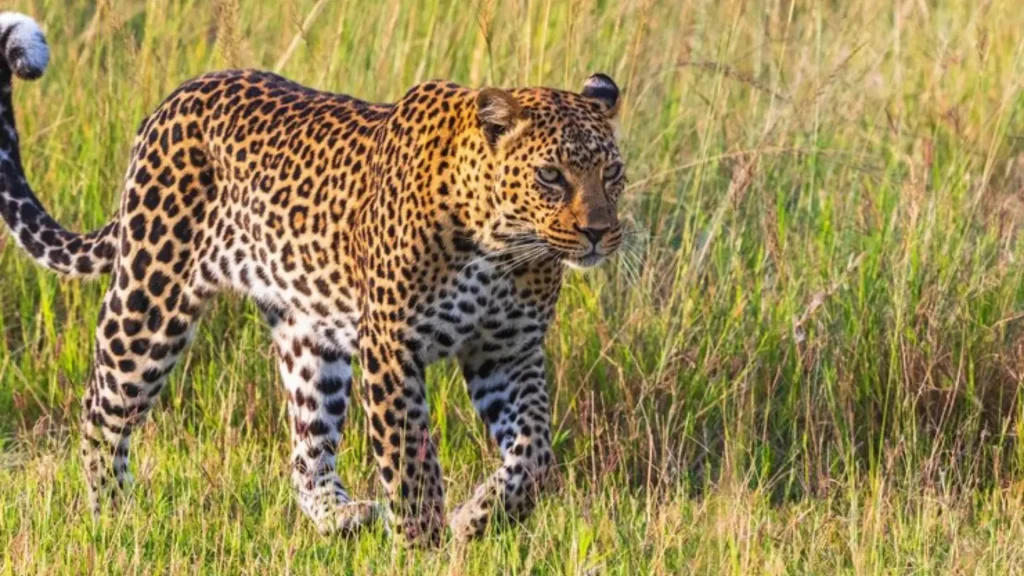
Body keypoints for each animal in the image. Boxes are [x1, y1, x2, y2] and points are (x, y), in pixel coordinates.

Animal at [0, 12, 626, 547]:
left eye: (613, 172)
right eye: (551, 176)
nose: (600, 232)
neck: (501, 248)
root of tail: (173, 101)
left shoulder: (509, 352)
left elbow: (534, 455)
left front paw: (476, 518)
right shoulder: (392, 347)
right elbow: (410, 462)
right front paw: (424, 543)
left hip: (309, 336)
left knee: (306, 446)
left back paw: (340, 515)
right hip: (150, 299)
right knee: (101, 409)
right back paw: (111, 517)